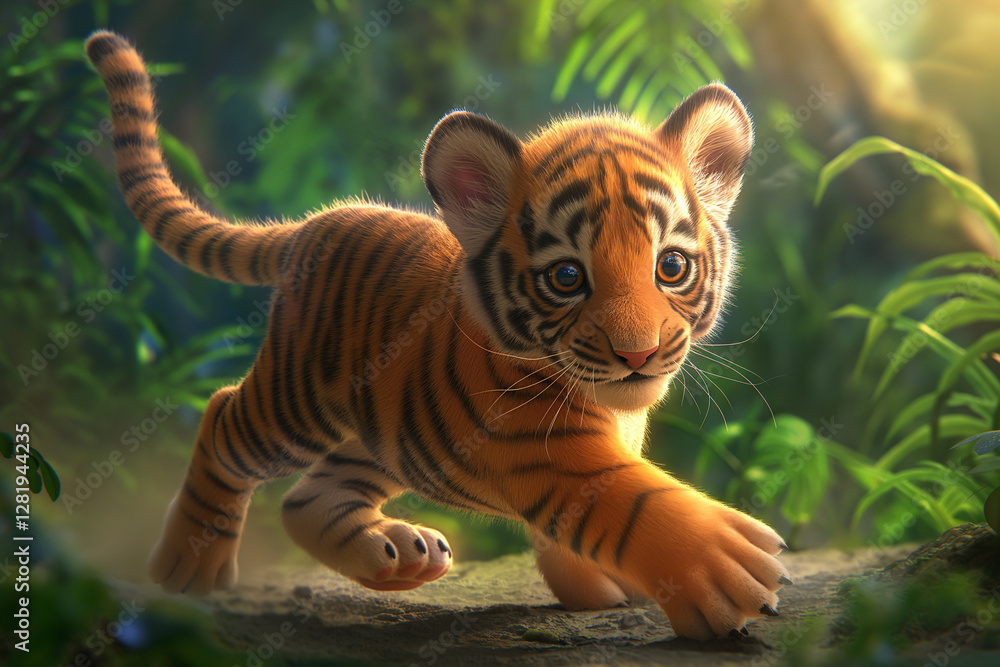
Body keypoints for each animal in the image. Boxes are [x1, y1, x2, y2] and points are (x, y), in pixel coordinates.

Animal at [85, 29, 790, 640]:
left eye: (670, 266)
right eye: (566, 277)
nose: (637, 352)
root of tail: (317, 222)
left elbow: (569, 537)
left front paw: (595, 587)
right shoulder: (546, 449)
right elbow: (634, 500)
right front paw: (728, 566)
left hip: (384, 435)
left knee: (308, 497)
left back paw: (397, 553)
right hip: (294, 402)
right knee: (224, 416)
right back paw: (187, 568)